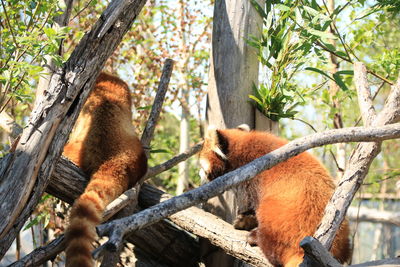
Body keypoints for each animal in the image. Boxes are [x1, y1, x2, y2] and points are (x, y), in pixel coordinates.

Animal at [199, 126, 350, 267]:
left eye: (201, 165)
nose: (200, 175)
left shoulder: (251, 179)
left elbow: (249, 203)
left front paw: (245, 219)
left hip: (279, 218)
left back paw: (255, 237)